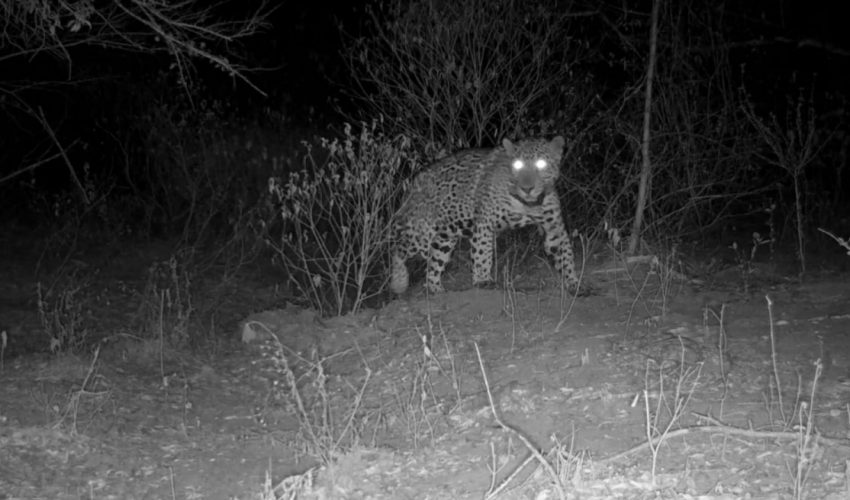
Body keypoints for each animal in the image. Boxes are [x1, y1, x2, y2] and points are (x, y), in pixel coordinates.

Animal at [389, 136, 579, 295]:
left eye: (541, 164)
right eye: (517, 165)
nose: (527, 188)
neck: (527, 204)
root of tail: (414, 182)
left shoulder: (554, 227)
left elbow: (566, 254)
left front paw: (573, 283)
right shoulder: (485, 222)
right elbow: (483, 251)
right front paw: (482, 280)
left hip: (445, 236)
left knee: (434, 262)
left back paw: (436, 290)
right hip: (421, 234)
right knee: (398, 250)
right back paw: (398, 282)